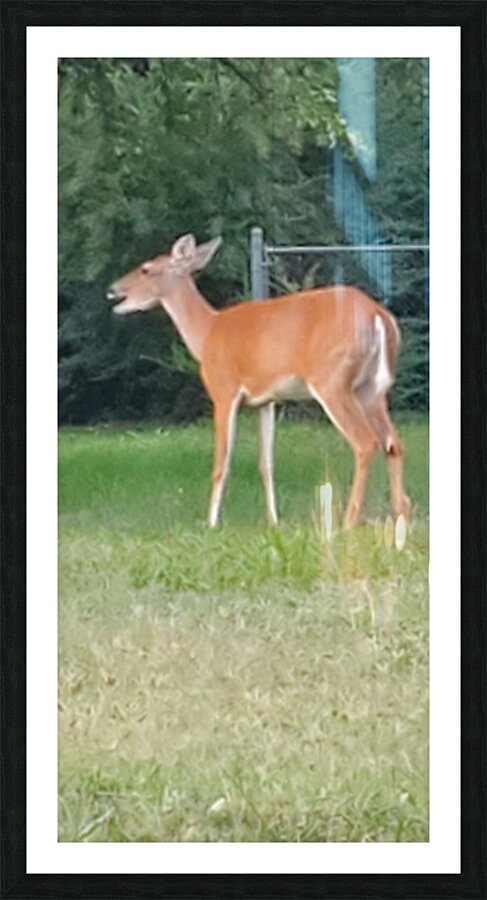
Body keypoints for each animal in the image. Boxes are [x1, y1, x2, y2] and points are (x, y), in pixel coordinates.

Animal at [107, 234, 411, 529]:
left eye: (146, 269)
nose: (112, 288)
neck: (206, 334)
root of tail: (378, 316)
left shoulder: (224, 390)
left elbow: (221, 462)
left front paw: (210, 523)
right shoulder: (266, 400)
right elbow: (266, 463)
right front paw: (273, 521)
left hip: (331, 380)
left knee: (365, 442)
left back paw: (348, 522)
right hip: (371, 388)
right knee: (393, 442)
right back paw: (401, 516)